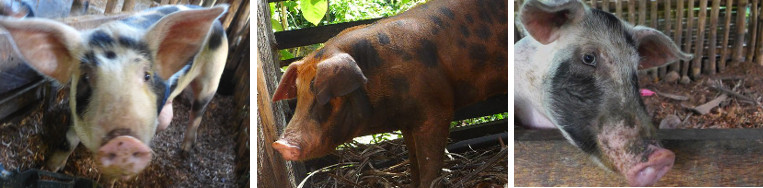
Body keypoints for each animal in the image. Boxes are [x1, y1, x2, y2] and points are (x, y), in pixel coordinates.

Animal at [0, 4, 230, 179]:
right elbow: (68, 140)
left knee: (197, 112)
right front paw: (50, 167)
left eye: (147, 75)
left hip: (213, 76)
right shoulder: (76, 115)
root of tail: (219, 23)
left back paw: (185, 151)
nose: (124, 141)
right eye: (85, 77)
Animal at [272, 0, 510, 187]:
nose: (280, 144)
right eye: (300, 94)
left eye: (330, 96)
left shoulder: (436, 112)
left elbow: (430, 165)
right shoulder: (407, 122)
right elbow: (414, 162)